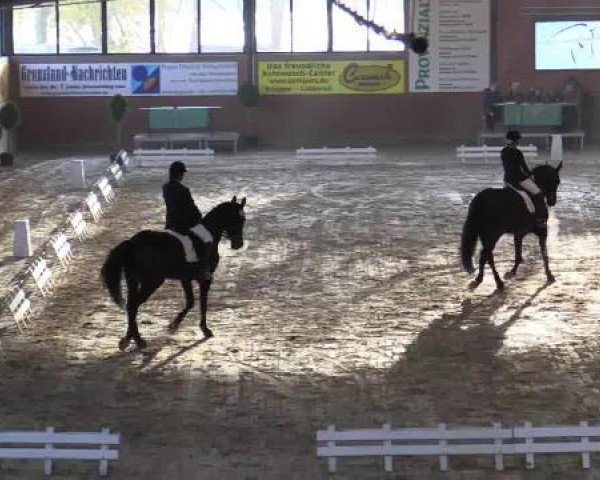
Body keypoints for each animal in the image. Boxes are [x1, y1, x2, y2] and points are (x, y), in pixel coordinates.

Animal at [101, 195, 246, 348]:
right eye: (239, 219)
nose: (238, 244)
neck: (208, 236)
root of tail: (132, 243)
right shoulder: (205, 279)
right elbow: (203, 303)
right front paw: (204, 329)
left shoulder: (186, 278)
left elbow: (190, 302)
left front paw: (174, 326)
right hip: (151, 282)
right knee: (133, 305)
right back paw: (138, 340)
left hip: (133, 280)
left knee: (130, 306)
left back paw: (128, 339)